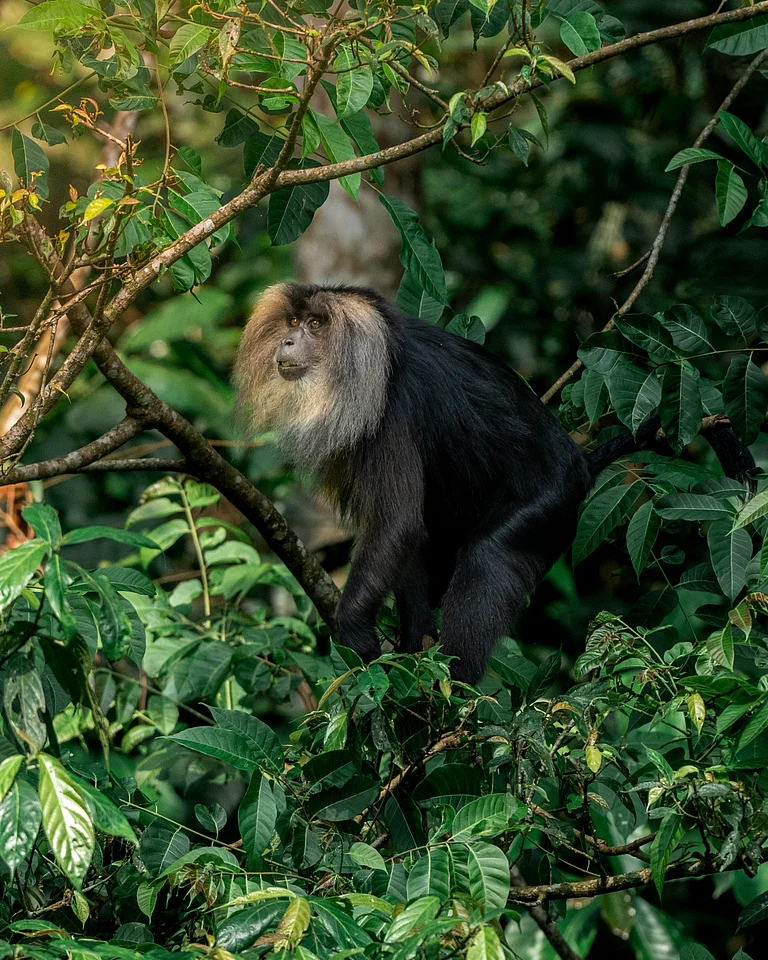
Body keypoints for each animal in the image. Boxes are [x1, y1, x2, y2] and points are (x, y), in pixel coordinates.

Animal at [234, 283, 756, 685]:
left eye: (316, 325)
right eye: (293, 321)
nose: (288, 342)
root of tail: (578, 466)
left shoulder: (392, 411)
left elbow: (396, 524)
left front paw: (354, 627)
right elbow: (408, 534)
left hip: (549, 501)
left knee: (486, 556)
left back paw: (456, 700)